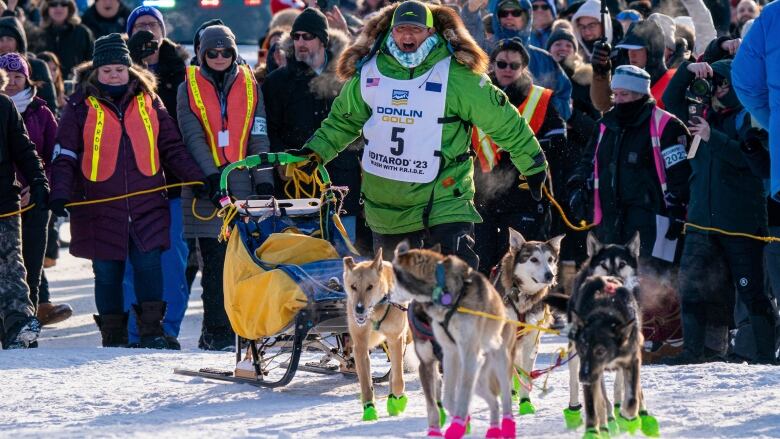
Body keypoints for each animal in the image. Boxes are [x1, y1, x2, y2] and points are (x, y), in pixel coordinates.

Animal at [390, 244, 516, 439]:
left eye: (395, 278)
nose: (386, 295)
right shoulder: (447, 356)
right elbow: (446, 399)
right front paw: (455, 422)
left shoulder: (468, 356)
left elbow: (462, 395)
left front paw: (458, 424)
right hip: (478, 377)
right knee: (493, 400)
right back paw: (494, 430)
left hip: (498, 363)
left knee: (505, 396)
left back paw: (508, 426)